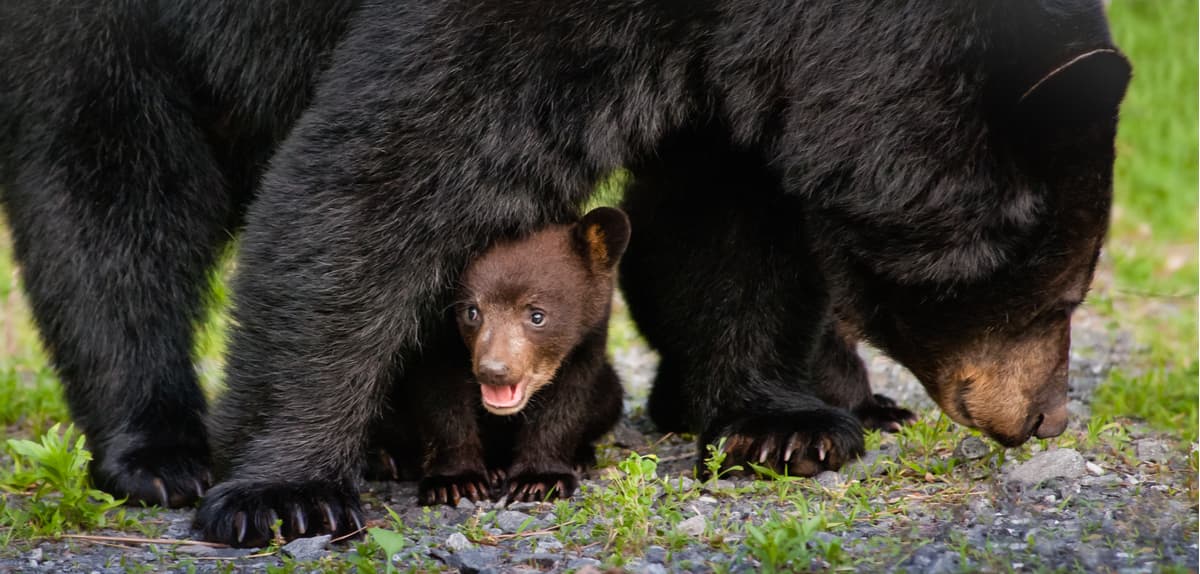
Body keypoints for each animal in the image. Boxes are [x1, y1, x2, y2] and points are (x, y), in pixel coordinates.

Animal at [0, 0, 1129, 547]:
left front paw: (777, 424)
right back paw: (162, 451)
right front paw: (285, 494)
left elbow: (731, 217)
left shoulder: (738, 62)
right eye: (1065, 289)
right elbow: (381, 167)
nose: (1045, 416)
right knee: (106, 191)